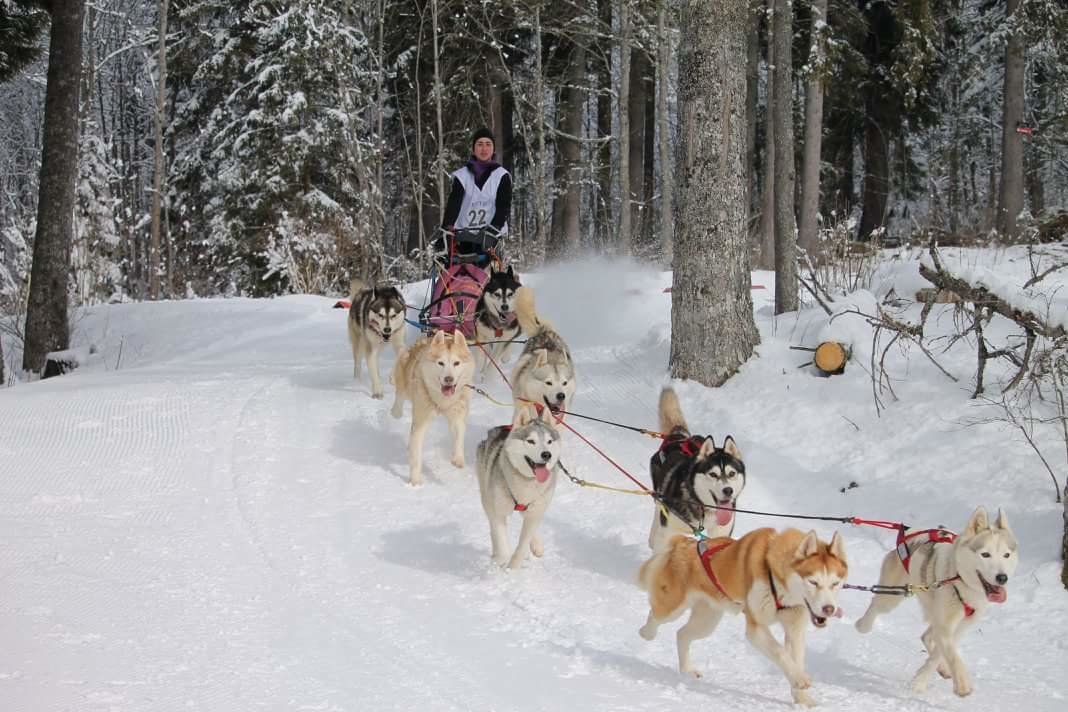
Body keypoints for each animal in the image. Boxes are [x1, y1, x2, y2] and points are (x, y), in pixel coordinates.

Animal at [389, 330, 474, 487]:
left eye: (456, 363)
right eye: (440, 363)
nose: (448, 379)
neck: (442, 401)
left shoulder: (457, 413)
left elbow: (459, 433)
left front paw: (458, 458)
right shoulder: (420, 421)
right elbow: (416, 455)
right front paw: (415, 481)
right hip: (405, 377)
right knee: (400, 393)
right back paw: (396, 410)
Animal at [475, 404, 562, 569]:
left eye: (549, 441)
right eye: (531, 441)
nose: (546, 454)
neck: (526, 482)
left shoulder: (535, 510)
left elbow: (523, 543)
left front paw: (513, 568)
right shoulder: (499, 512)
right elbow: (502, 541)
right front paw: (501, 561)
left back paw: (536, 546)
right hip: (487, 499)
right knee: (493, 528)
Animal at [638, 527, 848, 706]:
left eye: (835, 583)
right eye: (813, 582)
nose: (829, 609)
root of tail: (684, 542)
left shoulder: (794, 627)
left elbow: (795, 658)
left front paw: (802, 698)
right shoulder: (756, 628)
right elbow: (780, 652)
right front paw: (800, 678)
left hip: (706, 621)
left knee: (681, 634)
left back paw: (687, 669)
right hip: (673, 607)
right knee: (655, 616)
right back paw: (646, 633)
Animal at [648, 388, 745, 550]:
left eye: (732, 473)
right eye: (713, 474)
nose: (728, 490)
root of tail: (678, 436)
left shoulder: (721, 532)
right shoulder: (667, 533)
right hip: (659, 495)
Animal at [855, 506, 1018, 697]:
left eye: (1006, 555)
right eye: (985, 554)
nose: (1002, 577)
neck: (959, 580)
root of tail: (910, 532)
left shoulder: (961, 626)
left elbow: (939, 654)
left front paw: (922, 679)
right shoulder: (946, 625)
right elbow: (952, 655)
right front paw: (962, 685)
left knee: (927, 637)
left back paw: (942, 668)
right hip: (892, 596)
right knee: (876, 605)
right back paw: (862, 625)